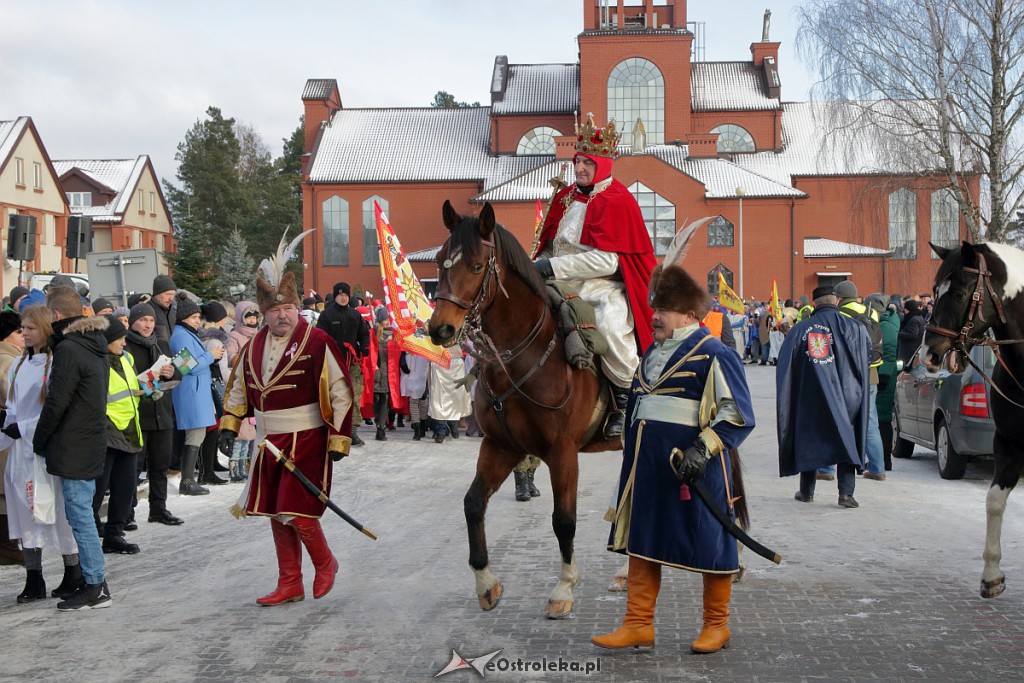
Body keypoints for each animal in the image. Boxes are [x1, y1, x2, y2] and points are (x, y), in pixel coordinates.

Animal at [430, 200, 618, 618]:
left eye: (476, 266)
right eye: (438, 261)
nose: (440, 330)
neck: (519, 360)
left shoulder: (563, 452)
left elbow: (564, 520)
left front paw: (564, 587)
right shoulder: (501, 446)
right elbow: (473, 504)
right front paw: (486, 582)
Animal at [925, 240, 1024, 598]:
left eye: (957, 293)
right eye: (934, 290)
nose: (929, 353)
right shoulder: (1008, 442)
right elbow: (994, 501)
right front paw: (992, 575)